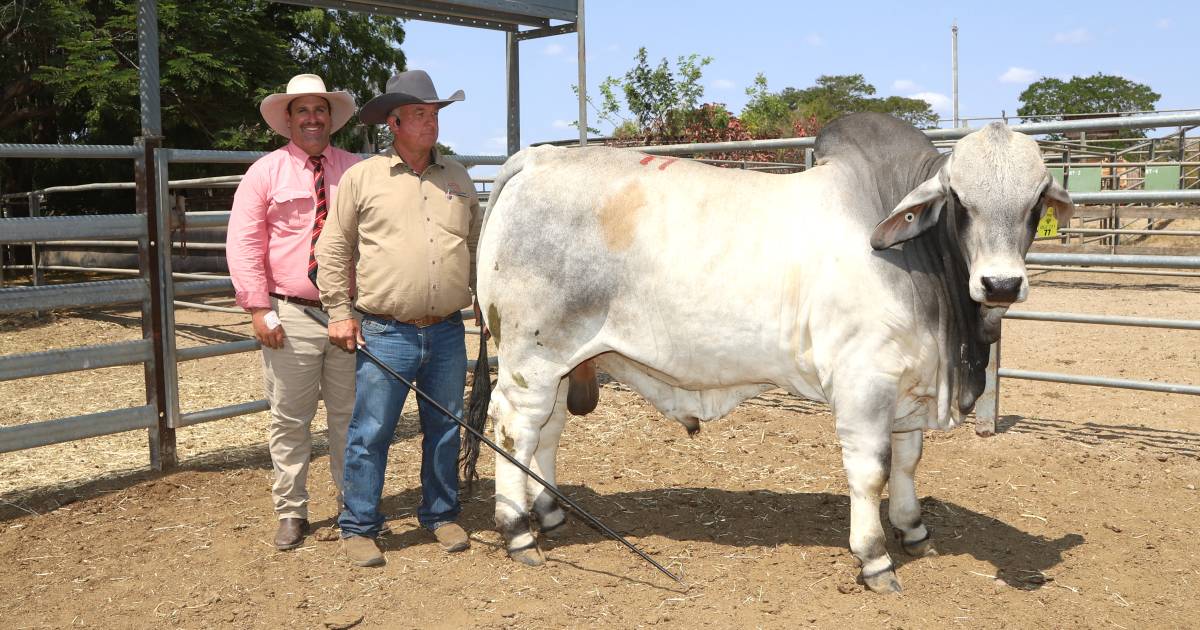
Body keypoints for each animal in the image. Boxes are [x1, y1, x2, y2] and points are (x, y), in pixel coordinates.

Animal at [463, 111, 1075, 590]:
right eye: (961, 202)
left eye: (1035, 202)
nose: (1000, 284)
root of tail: (537, 160)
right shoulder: (864, 383)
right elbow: (871, 471)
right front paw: (875, 558)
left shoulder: (907, 387)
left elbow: (907, 462)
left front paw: (914, 530)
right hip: (531, 360)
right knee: (514, 431)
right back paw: (518, 532)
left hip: (562, 364)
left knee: (546, 434)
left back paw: (549, 513)